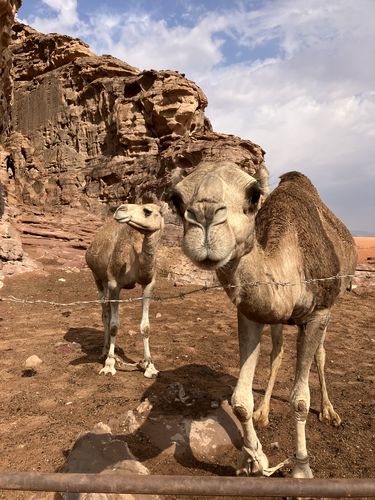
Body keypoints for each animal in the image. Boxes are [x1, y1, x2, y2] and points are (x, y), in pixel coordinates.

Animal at [87, 203, 167, 378]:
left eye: (147, 211)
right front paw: (109, 365)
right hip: (98, 278)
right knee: (105, 314)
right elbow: (114, 325)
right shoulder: (114, 283)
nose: (120, 209)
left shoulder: (149, 284)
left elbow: (145, 327)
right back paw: (104, 352)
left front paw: (150, 366)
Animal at [170, 162, 358, 478]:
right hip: (279, 320)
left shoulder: (318, 313)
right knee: (277, 354)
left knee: (320, 354)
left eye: (254, 194)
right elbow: (240, 402)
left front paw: (301, 467)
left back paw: (329, 412)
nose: (205, 218)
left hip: (332, 304)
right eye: (175, 199)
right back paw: (264, 412)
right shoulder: (251, 314)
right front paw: (253, 460)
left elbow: (300, 400)